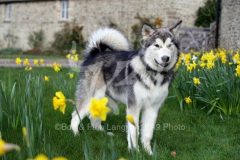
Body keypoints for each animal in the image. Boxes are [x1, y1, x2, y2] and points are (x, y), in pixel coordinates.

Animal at [70, 20, 183, 154]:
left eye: (170, 45)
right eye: (157, 45)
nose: (165, 58)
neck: (154, 75)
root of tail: (96, 52)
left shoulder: (153, 108)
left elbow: (147, 133)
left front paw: (148, 152)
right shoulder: (134, 106)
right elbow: (134, 131)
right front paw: (135, 151)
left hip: (108, 101)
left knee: (93, 117)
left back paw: (102, 133)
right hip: (92, 97)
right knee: (75, 115)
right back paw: (75, 135)